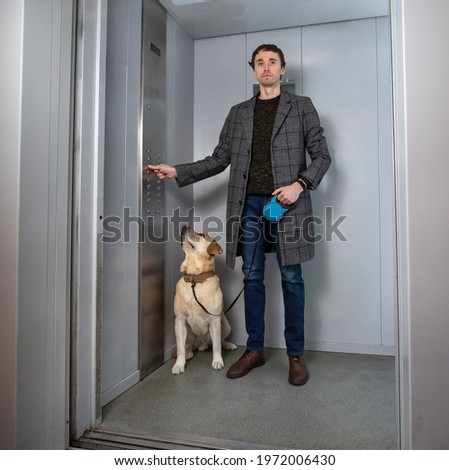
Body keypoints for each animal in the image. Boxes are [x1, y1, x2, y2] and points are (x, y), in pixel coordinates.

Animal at [171, 226, 236, 376]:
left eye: (201, 234)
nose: (184, 226)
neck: (195, 280)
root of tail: (202, 343)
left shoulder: (215, 321)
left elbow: (217, 346)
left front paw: (217, 361)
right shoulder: (180, 320)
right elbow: (180, 348)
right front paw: (179, 365)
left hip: (225, 324)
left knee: (219, 341)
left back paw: (228, 345)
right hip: (186, 331)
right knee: (188, 344)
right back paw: (189, 352)